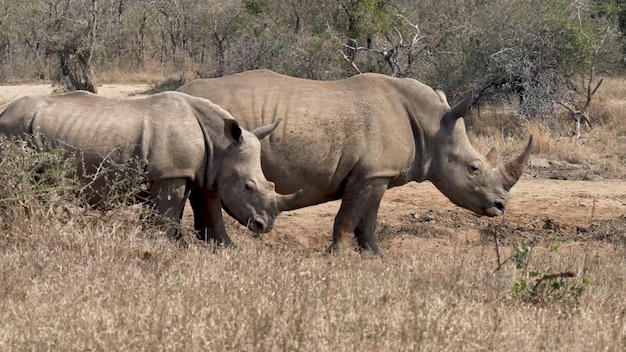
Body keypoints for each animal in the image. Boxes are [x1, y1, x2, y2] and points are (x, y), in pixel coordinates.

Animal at [0, 91, 300, 239]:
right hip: (15, 129)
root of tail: (4, 113)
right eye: (249, 187)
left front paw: (224, 248)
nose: (264, 226)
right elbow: (165, 215)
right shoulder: (170, 174)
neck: (221, 142)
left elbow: (208, 213)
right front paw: (160, 246)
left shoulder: (203, 173)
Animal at [177, 70, 532, 254]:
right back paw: (226, 248)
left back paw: (209, 246)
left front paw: (373, 254)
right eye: (474, 168)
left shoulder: (378, 175)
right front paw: (338, 254)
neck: (431, 126)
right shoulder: (370, 174)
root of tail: (181, 91)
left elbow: (368, 218)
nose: (501, 206)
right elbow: (348, 217)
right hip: (221, 134)